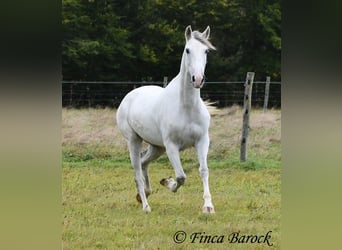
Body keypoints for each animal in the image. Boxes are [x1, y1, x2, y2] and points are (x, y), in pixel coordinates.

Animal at [116, 24, 215, 213]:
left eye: (206, 51)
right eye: (187, 50)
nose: (198, 79)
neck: (186, 107)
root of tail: (129, 96)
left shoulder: (202, 141)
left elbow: (204, 170)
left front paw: (208, 206)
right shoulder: (171, 146)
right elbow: (181, 176)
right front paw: (167, 182)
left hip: (157, 147)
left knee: (143, 162)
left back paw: (144, 194)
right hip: (134, 140)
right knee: (137, 171)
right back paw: (145, 205)